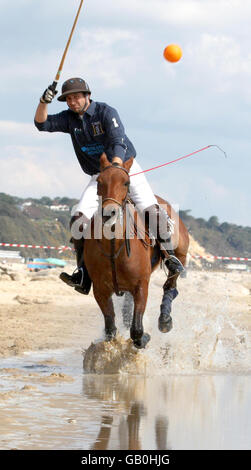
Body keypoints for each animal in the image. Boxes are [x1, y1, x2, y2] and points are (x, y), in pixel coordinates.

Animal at [84, 154, 188, 348]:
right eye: (99, 181)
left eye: (126, 183)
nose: (109, 214)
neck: (113, 244)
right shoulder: (100, 289)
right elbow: (111, 329)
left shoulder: (141, 285)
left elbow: (137, 330)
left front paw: (144, 337)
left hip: (181, 254)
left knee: (170, 285)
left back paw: (165, 319)